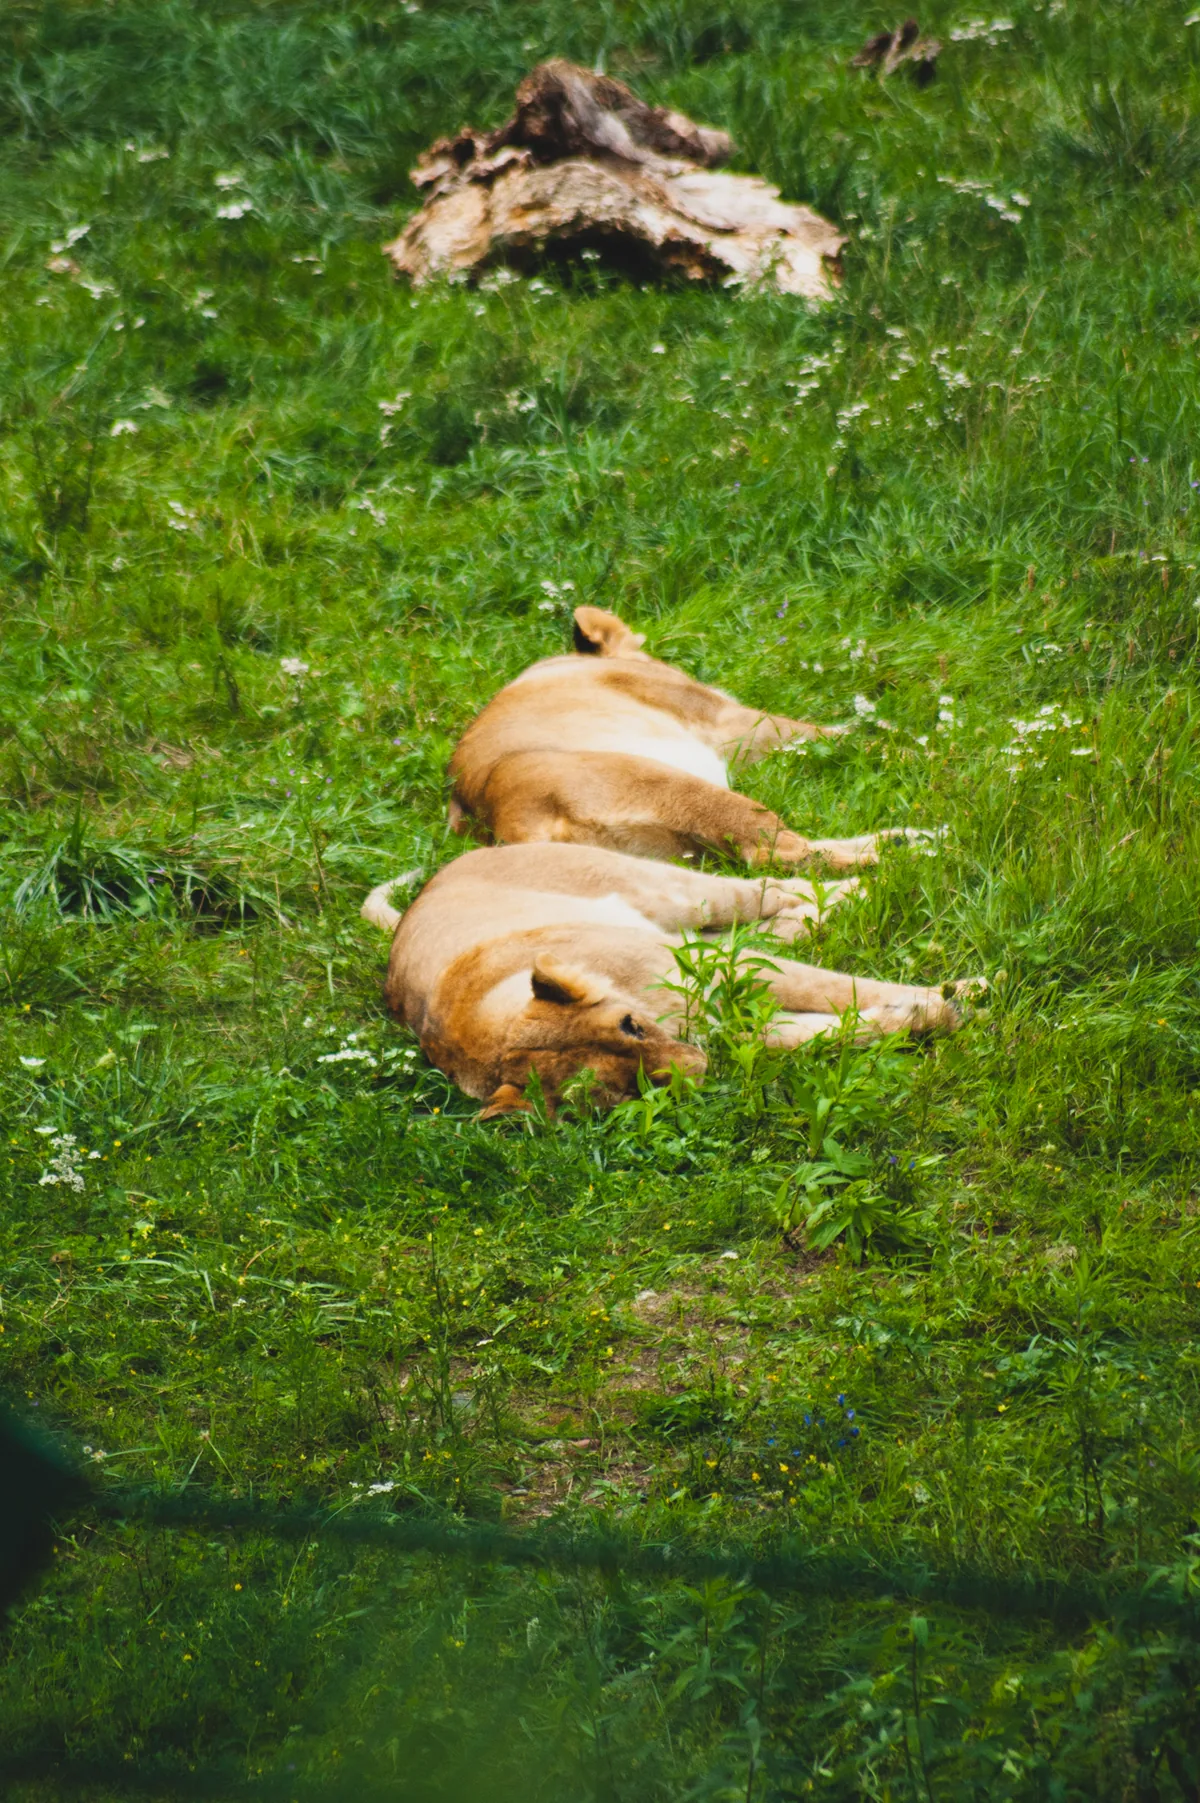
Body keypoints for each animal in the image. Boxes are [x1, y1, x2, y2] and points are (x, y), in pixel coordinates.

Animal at [362, 843, 981, 1117]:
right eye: (624, 1088)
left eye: (630, 1025)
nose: (700, 1067)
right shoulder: (735, 1023)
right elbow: (827, 1030)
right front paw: (926, 1015)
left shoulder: (728, 978)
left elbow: (844, 991)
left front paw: (963, 997)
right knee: (780, 921)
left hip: (674, 893)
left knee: (776, 886)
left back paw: (895, 864)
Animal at [447, 604, 928, 870]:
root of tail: (502, 824)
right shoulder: (728, 722)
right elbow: (834, 735)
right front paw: (918, 747)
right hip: (677, 787)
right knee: (777, 853)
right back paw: (904, 858)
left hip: (677, 853)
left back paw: (913, 838)